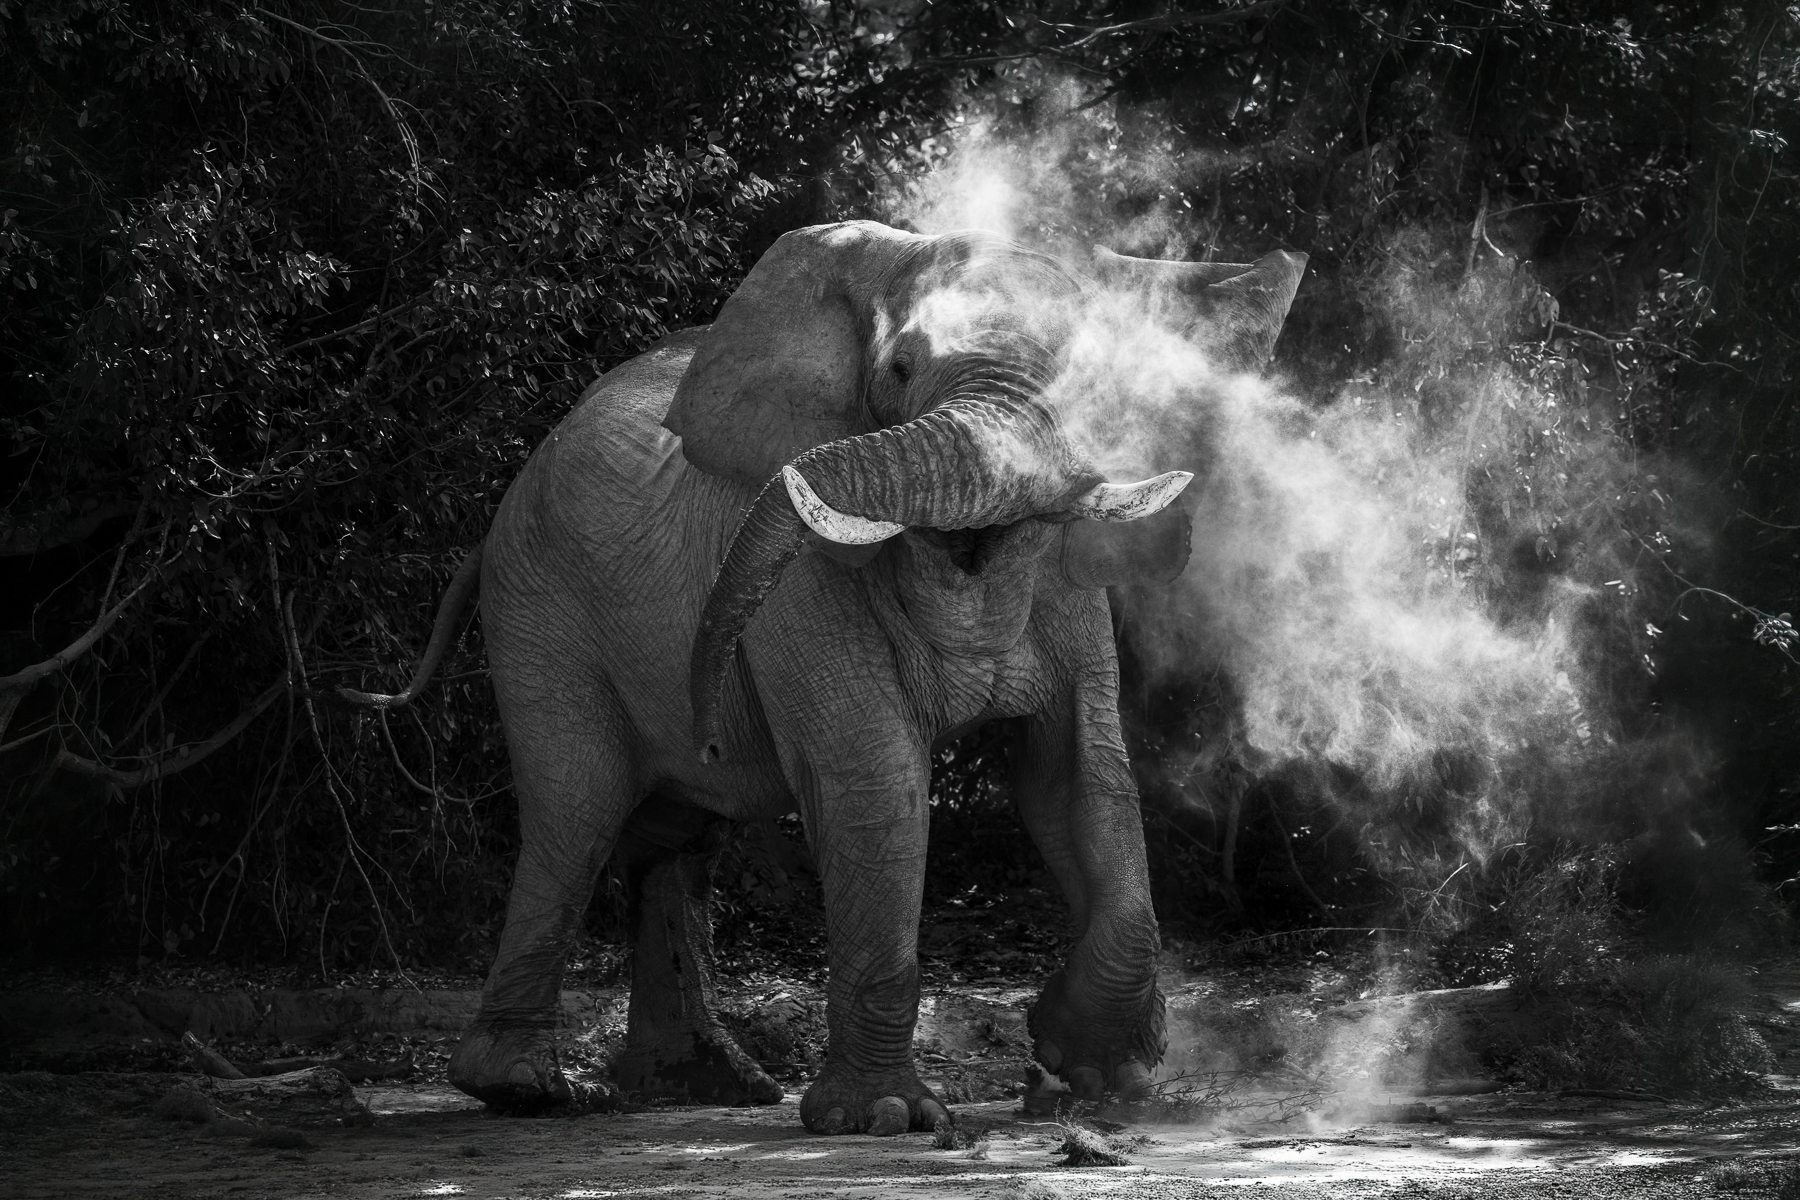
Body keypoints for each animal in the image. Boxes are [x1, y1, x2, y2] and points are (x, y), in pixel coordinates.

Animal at [347, 220, 1305, 1134]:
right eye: (900, 369)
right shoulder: (805, 580)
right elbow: (873, 777)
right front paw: (887, 1120)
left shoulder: (1067, 578)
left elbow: (1083, 772)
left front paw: (1093, 1076)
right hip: (540, 604)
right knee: (576, 810)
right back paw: (531, 1091)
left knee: (675, 833)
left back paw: (711, 1086)